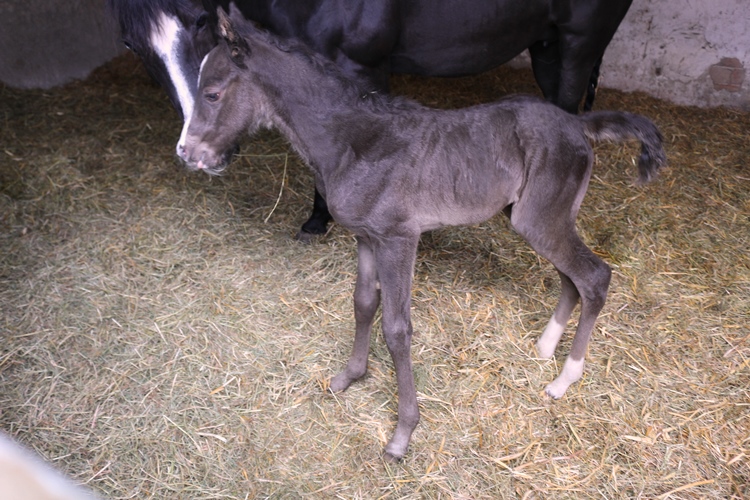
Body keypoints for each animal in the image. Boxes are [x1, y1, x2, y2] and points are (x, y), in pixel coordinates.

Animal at [108, 0, 636, 240]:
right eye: (131, 44)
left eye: (199, 20)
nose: (191, 153)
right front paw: (317, 220)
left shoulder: (365, 69)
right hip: (547, 44)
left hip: (576, 44)